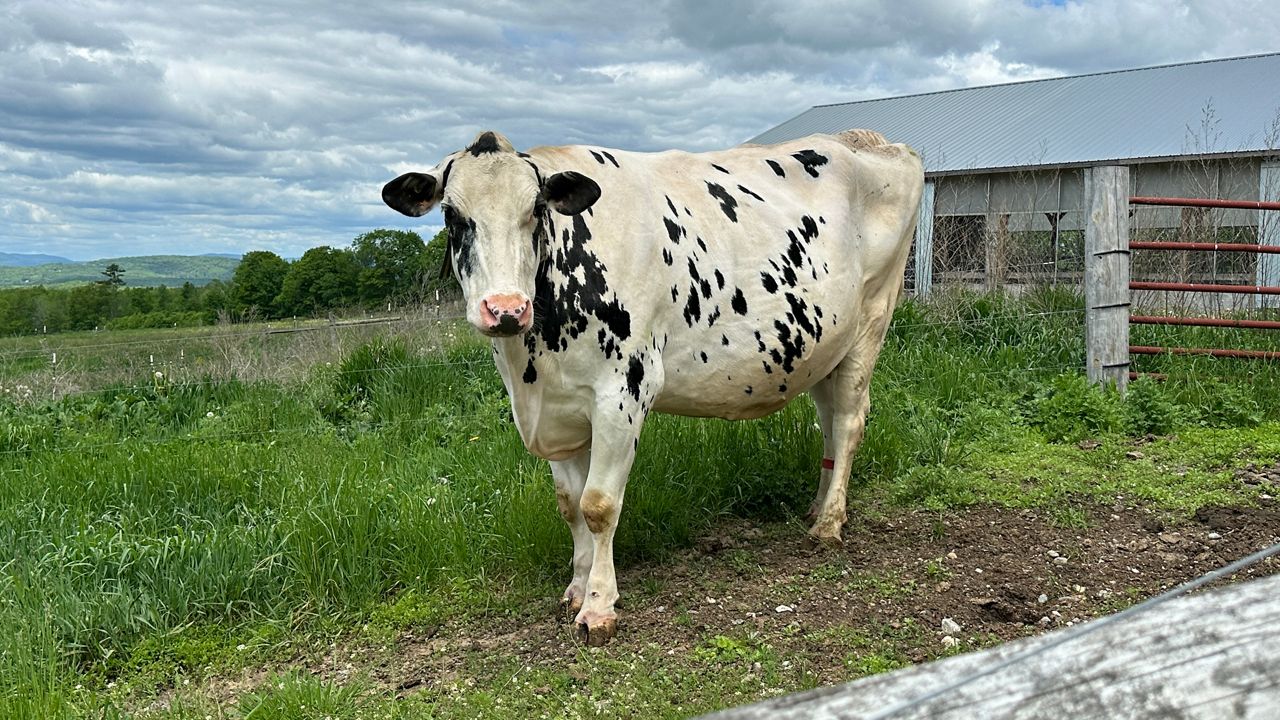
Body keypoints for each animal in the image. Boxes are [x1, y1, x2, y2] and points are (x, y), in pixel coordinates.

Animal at [382, 129, 924, 645]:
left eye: (535, 209)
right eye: (452, 215)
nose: (506, 309)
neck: (530, 365)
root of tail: (873, 141)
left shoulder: (623, 391)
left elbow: (598, 505)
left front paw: (598, 607)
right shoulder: (557, 409)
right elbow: (568, 504)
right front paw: (576, 586)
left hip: (871, 321)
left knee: (849, 422)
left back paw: (828, 525)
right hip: (823, 347)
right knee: (829, 425)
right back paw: (821, 507)